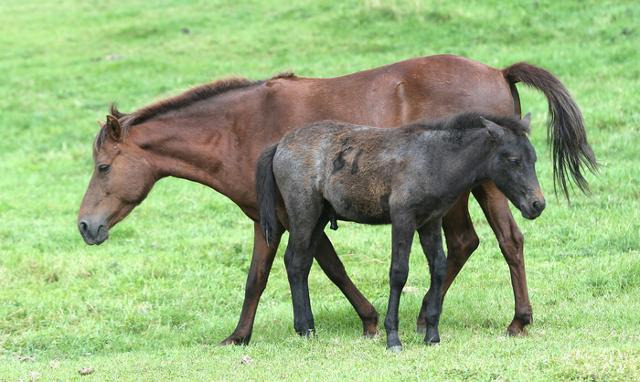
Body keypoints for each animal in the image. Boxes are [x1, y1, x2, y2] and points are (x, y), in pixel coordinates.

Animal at [255, 112, 544, 350]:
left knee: (300, 263)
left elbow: (438, 268)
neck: (434, 158)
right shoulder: (403, 219)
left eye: (534, 158)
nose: (537, 204)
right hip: (304, 214)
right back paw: (304, 329)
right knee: (295, 262)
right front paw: (393, 337)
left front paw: (432, 335)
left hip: (319, 217)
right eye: (514, 160)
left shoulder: (430, 222)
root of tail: (280, 145)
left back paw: (308, 328)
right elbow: (398, 273)